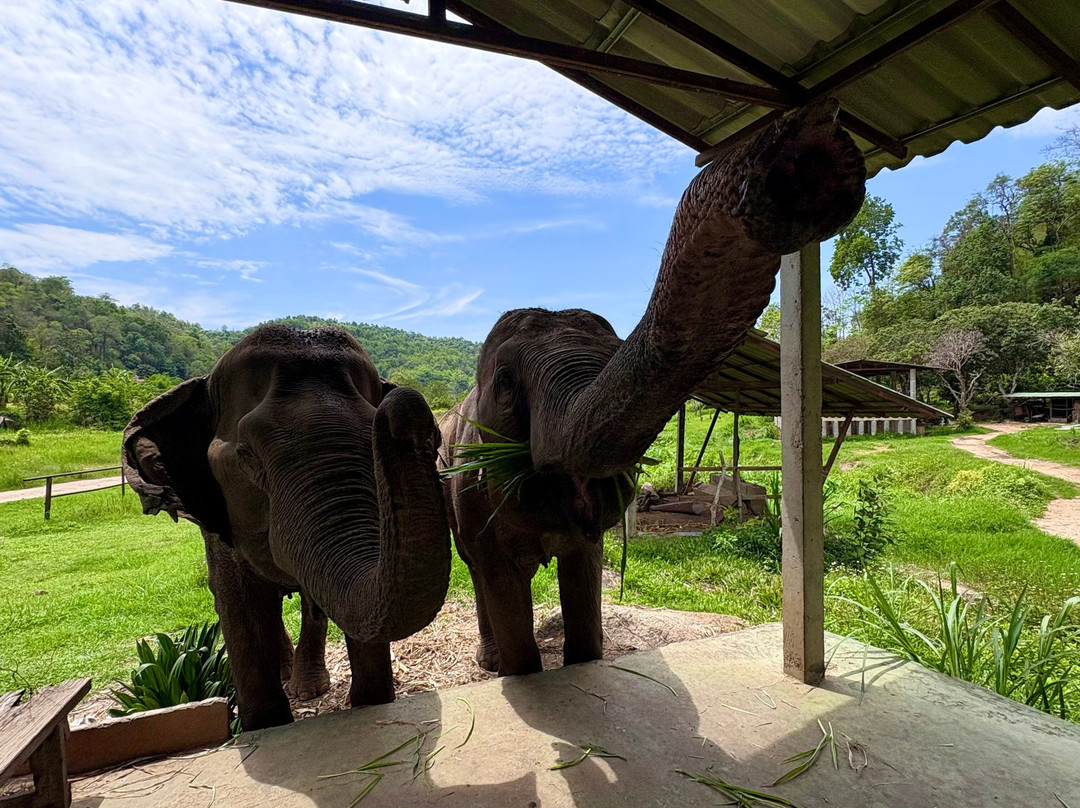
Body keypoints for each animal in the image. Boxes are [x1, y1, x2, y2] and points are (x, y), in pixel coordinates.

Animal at [122, 324, 451, 730]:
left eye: (371, 438)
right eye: (247, 455)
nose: (407, 408)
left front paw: (372, 704)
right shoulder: (219, 530)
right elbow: (237, 604)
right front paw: (266, 724)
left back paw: (307, 688)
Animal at [439, 103, 866, 677]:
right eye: (506, 383)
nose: (806, 140)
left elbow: (584, 572)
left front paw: (584, 666)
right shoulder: (472, 487)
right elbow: (499, 579)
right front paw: (523, 673)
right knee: (474, 567)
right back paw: (490, 663)